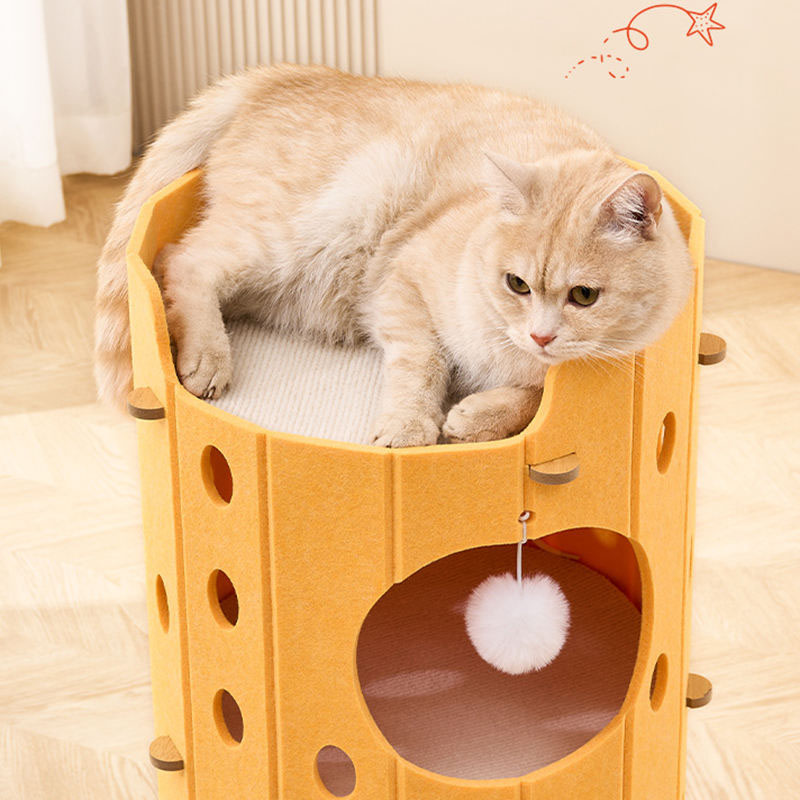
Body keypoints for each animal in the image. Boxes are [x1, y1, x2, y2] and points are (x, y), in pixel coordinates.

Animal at [95, 64, 692, 447]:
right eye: (516, 284)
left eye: (584, 296)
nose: (540, 336)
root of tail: (284, 73)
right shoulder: (402, 284)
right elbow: (421, 366)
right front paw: (411, 425)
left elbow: (534, 395)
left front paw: (478, 417)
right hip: (300, 231)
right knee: (179, 259)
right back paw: (207, 356)